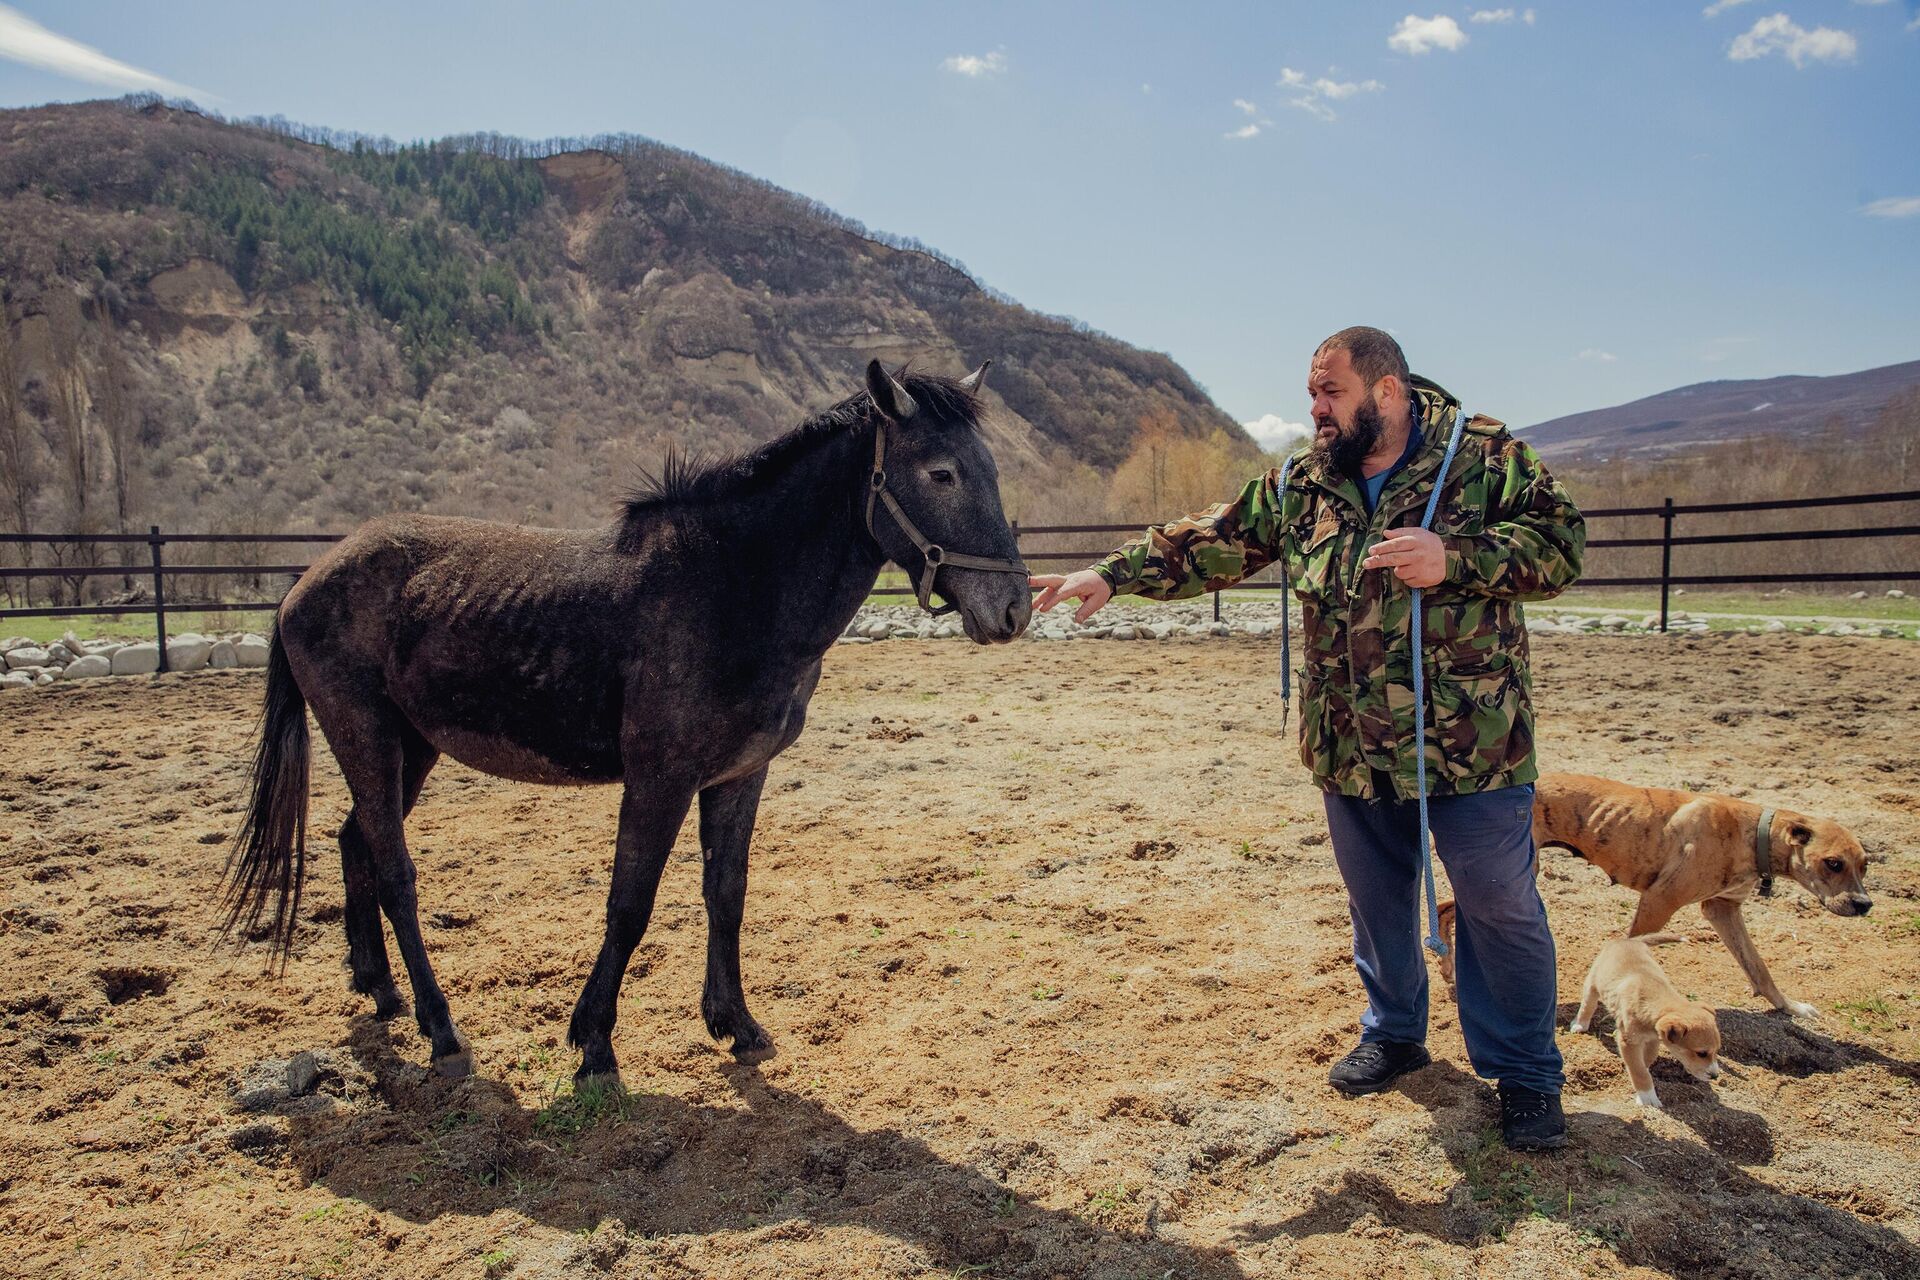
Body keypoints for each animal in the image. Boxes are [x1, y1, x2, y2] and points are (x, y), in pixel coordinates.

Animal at [220, 360, 1036, 1082]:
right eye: (941, 473)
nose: (1013, 611)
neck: (732, 585)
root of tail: (305, 583)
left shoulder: (739, 776)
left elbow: (726, 894)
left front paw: (736, 1025)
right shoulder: (659, 778)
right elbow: (630, 905)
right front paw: (595, 1044)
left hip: (409, 747)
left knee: (354, 843)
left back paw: (382, 991)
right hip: (365, 735)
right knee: (395, 872)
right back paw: (443, 1032)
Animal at [1566, 932, 1720, 1113]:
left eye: (1717, 1050)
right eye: (1701, 1053)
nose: (1715, 1076)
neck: (1653, 997)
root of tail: (1629, 940)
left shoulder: (1653, 1040)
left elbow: (1644, 1062)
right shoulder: (1628, 1041)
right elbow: (1639, 1071)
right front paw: (1647, 1096)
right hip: (1593, 983)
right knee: (1588, 1004)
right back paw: (1580, 1024)